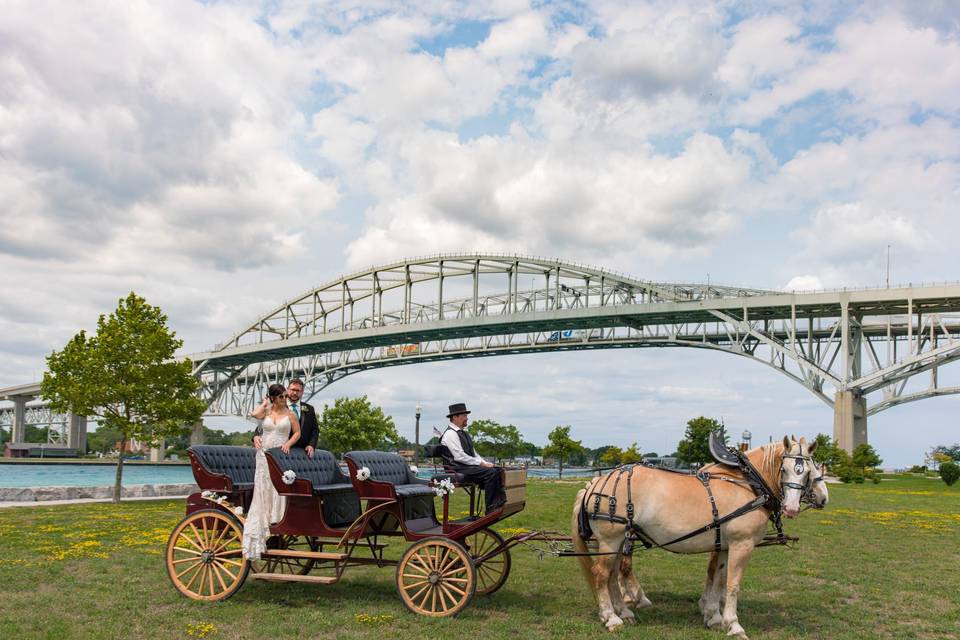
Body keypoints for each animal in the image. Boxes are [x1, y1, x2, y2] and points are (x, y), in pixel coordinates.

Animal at [568, 436, 816, 636]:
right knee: (601, 574)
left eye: (808, 472)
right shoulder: (742, 544)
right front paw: (733, 624)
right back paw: (610, 617)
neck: (749, 484)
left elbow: (718, 579)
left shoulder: (724, 546)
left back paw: (624, 612)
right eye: (784, 469)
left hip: (617, 541)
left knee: (612, 575)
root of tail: (595, 483)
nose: (791, 508)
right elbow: (732, 584)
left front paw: (714, 617)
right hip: (610, 539)